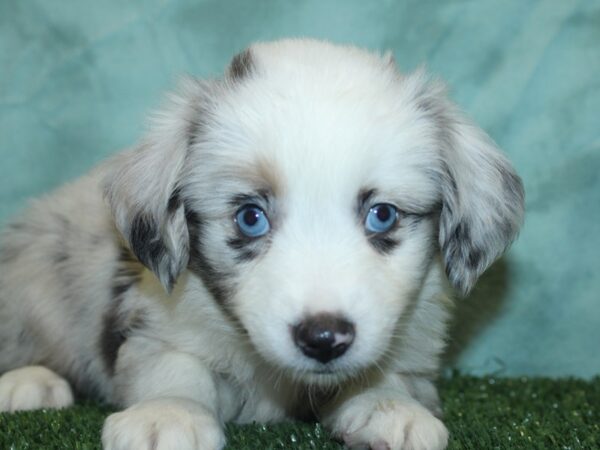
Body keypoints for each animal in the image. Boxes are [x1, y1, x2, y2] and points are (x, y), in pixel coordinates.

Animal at [0, 39, 524, 450]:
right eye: (251, 217)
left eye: (383, 214)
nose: (324, 337)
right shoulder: (155, 319)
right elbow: (173, 366)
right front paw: (169, 414)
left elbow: (388, 372)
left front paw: (387, 405)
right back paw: (30, 382)